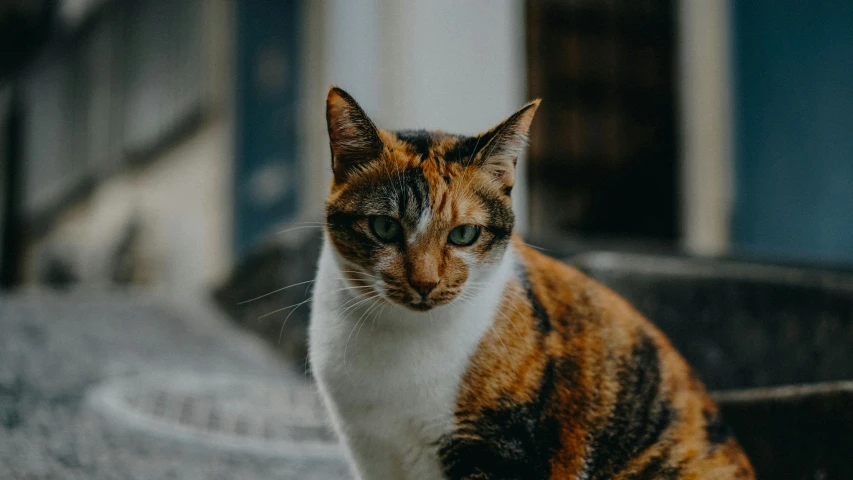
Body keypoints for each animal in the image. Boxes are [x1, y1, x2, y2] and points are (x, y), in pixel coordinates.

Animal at [308, 87, 752, 480]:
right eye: (384, 227)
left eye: (464, 234)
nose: (425, 282)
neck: (403, 340)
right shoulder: (370, 450)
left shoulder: (501, 447)